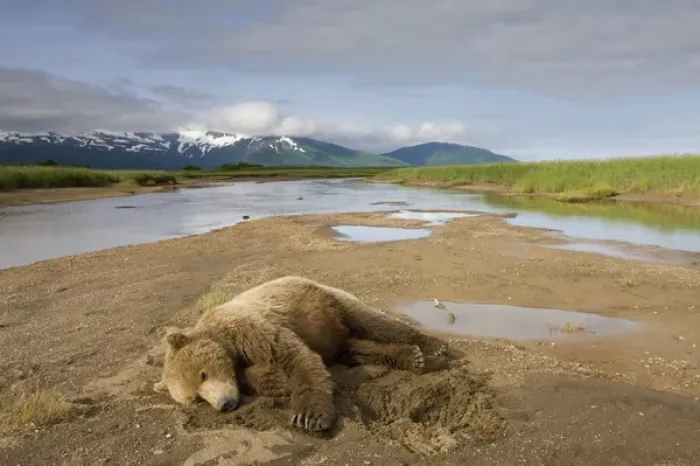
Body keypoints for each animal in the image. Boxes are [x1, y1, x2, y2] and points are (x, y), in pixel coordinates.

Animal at [153, 275, 449, 433]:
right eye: (195, 398)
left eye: (202, 374)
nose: (224, 404)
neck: (226, 342)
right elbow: (259, 374)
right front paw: (273, 380)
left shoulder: (251, 329)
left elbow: (296, 357)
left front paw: (309, 416)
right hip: (333, 334)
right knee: (357, 349)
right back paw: (411, 356)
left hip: (330, 300)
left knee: (375, 321)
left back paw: (433, 347)